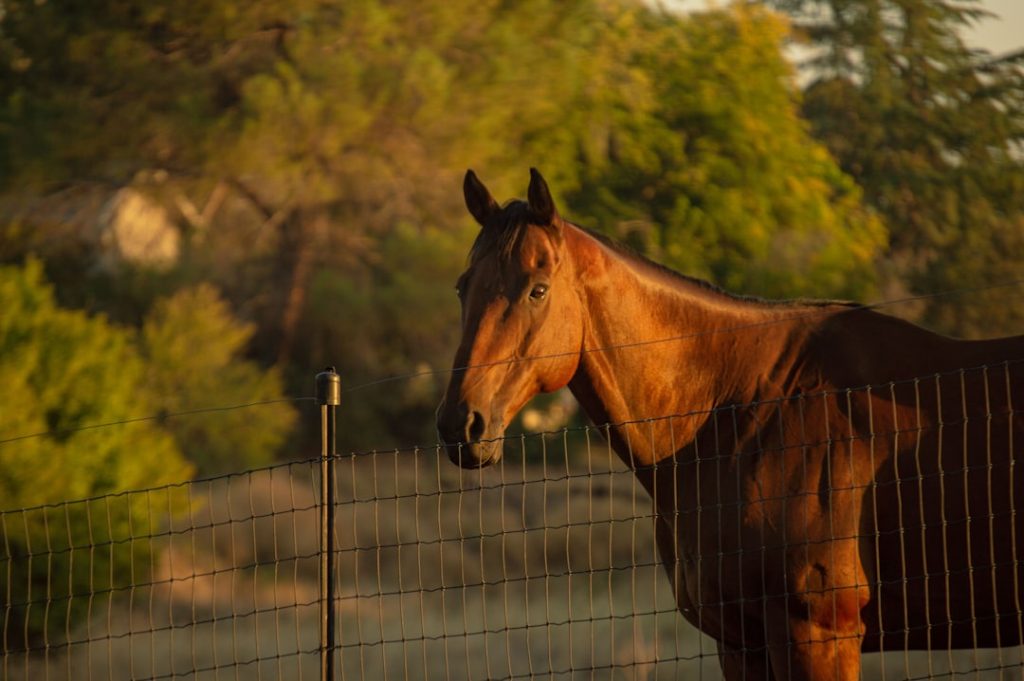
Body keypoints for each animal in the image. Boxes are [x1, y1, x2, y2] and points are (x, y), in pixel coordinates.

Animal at [435, 168, 1024, 680]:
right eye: (462, 287)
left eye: (536, 289)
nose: (460, 425)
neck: (742, 410)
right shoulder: (741, 644)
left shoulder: (819, 637)